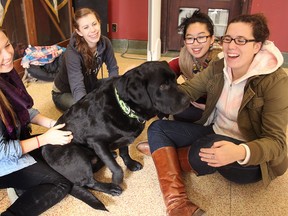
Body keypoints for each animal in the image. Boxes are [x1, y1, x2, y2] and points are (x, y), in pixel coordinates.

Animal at [40, 60, 189, 211]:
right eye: (163, 85)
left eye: (175, 79)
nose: (188, 100)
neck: (124, 107)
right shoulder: (97, 142)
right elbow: (116, 168)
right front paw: (117, 180)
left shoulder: (124, 139)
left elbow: (124, 152)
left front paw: (130, 164)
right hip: (75, 154)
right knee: (88, 182)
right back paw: (110, 187)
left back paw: (111, 155)